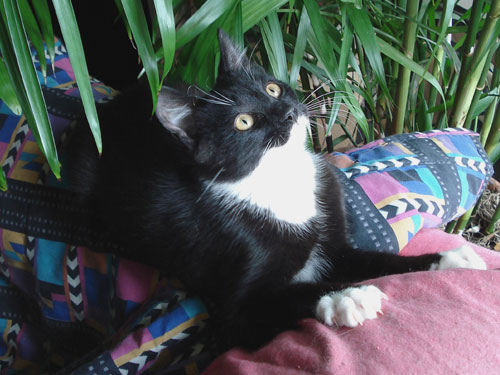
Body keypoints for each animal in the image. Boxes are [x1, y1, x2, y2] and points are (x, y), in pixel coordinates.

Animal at [65, 30, 484, 352]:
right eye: (243, 122)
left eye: (271, 87)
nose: (287, 113)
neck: (282, 180)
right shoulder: (232, 306)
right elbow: (275, 300)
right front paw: (344, 296)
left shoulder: (333, 238)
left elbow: (376, 262)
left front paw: (448, 260)